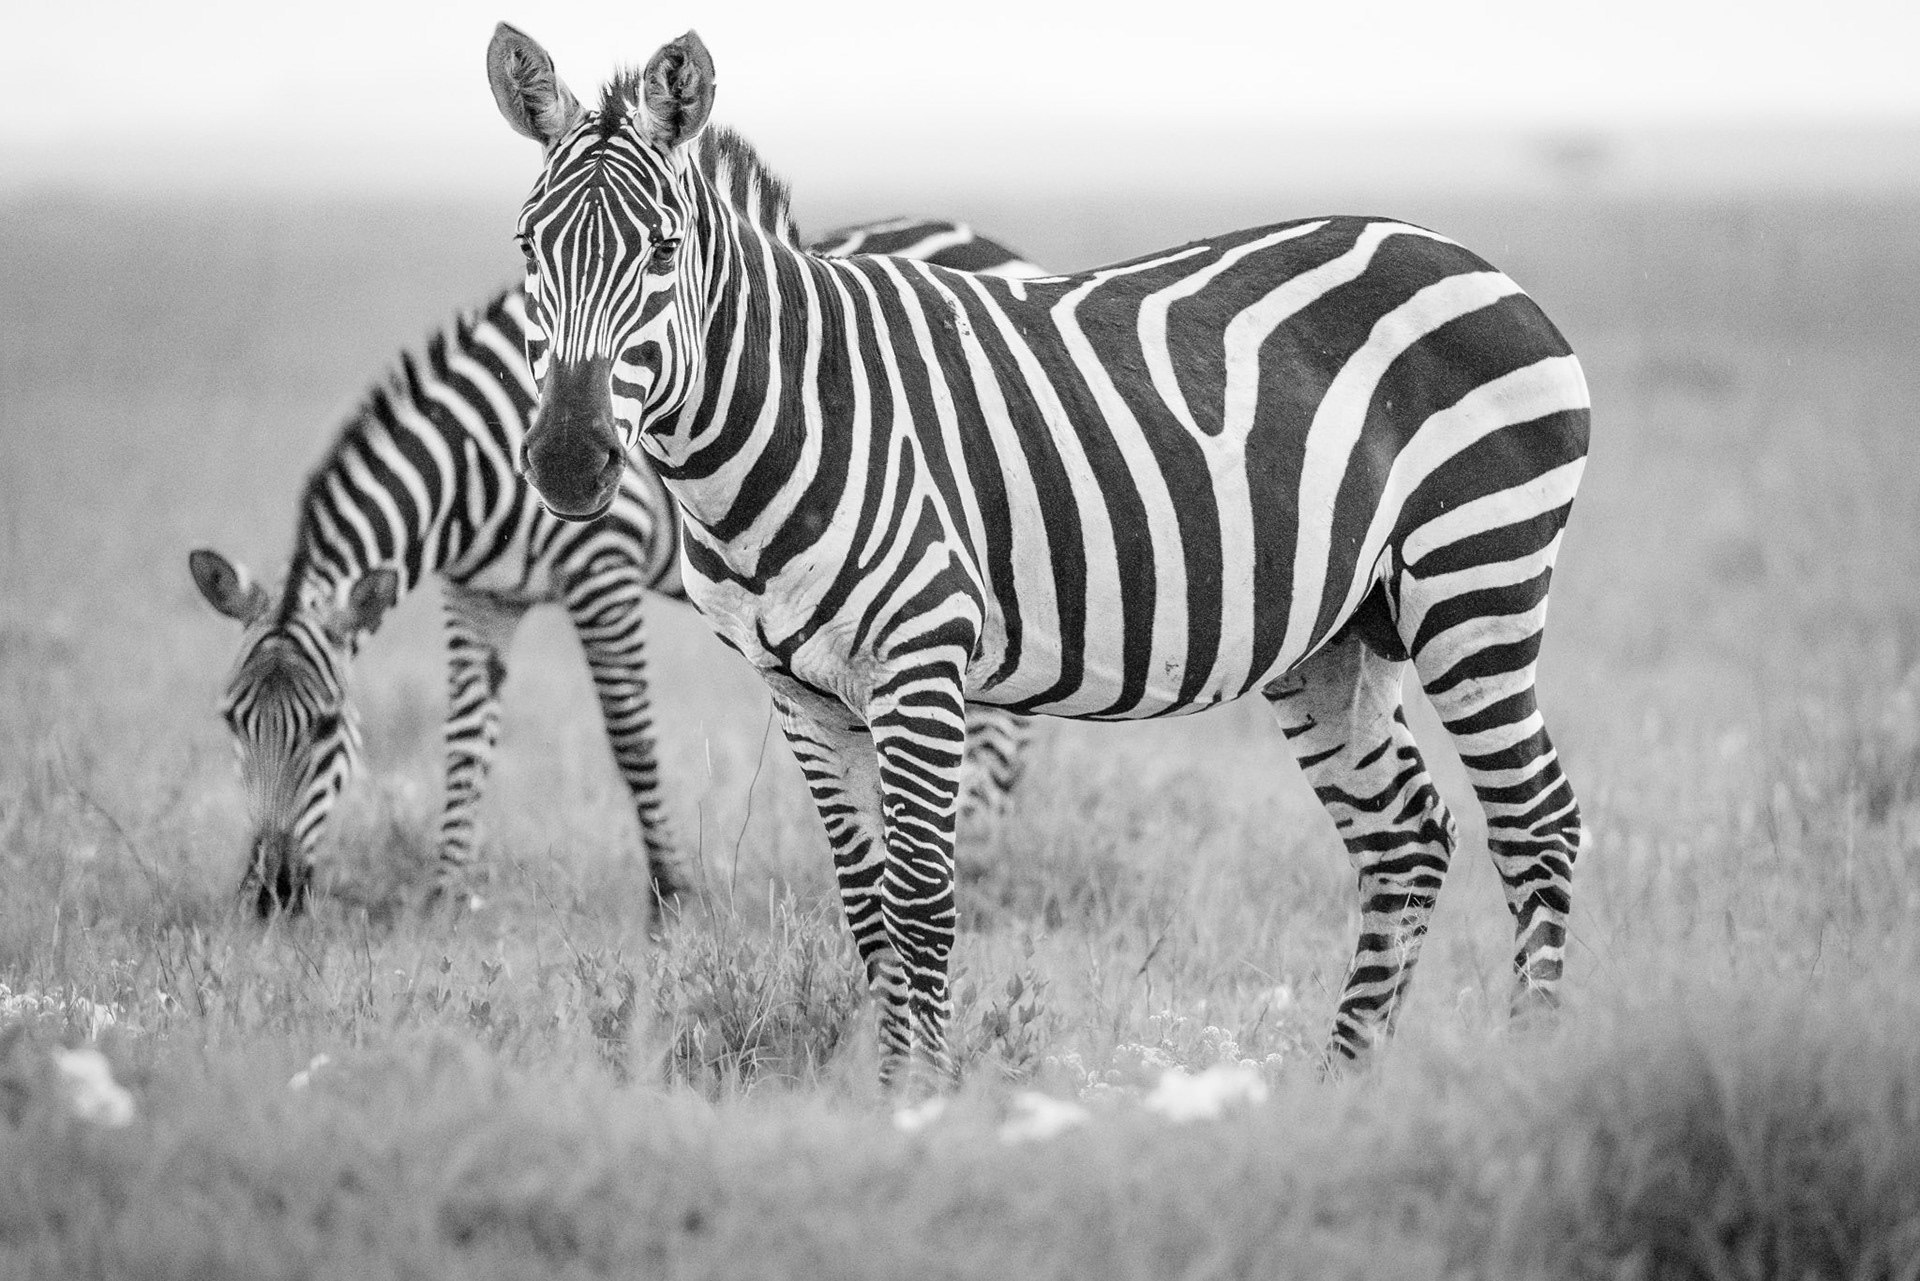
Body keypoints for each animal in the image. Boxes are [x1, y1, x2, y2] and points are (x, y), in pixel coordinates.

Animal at [190, 218, 1043, 919]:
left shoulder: (602, 567)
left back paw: (984, 865)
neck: (477, 465)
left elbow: (629, 735)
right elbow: (464, 740)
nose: (269, 897)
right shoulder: (478, 595)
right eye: (231, 719)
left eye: (325, 726)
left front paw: (671, 894)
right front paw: (444, 896)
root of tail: (995, 246)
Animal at [486, 26, 1591, 1088]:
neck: (794, 411)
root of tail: (1471, 259)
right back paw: (1343, 1087)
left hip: (1475, 578)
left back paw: (1530, 1066)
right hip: (1341, 634)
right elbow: (865, 904)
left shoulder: (922, 658)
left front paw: (922, 1099)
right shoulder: (796, 690)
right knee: (1406, 839)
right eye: (528, 246)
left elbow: (922, 899)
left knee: (1537, 825)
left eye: (663, 249)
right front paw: (886, 1086)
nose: (569, 458)